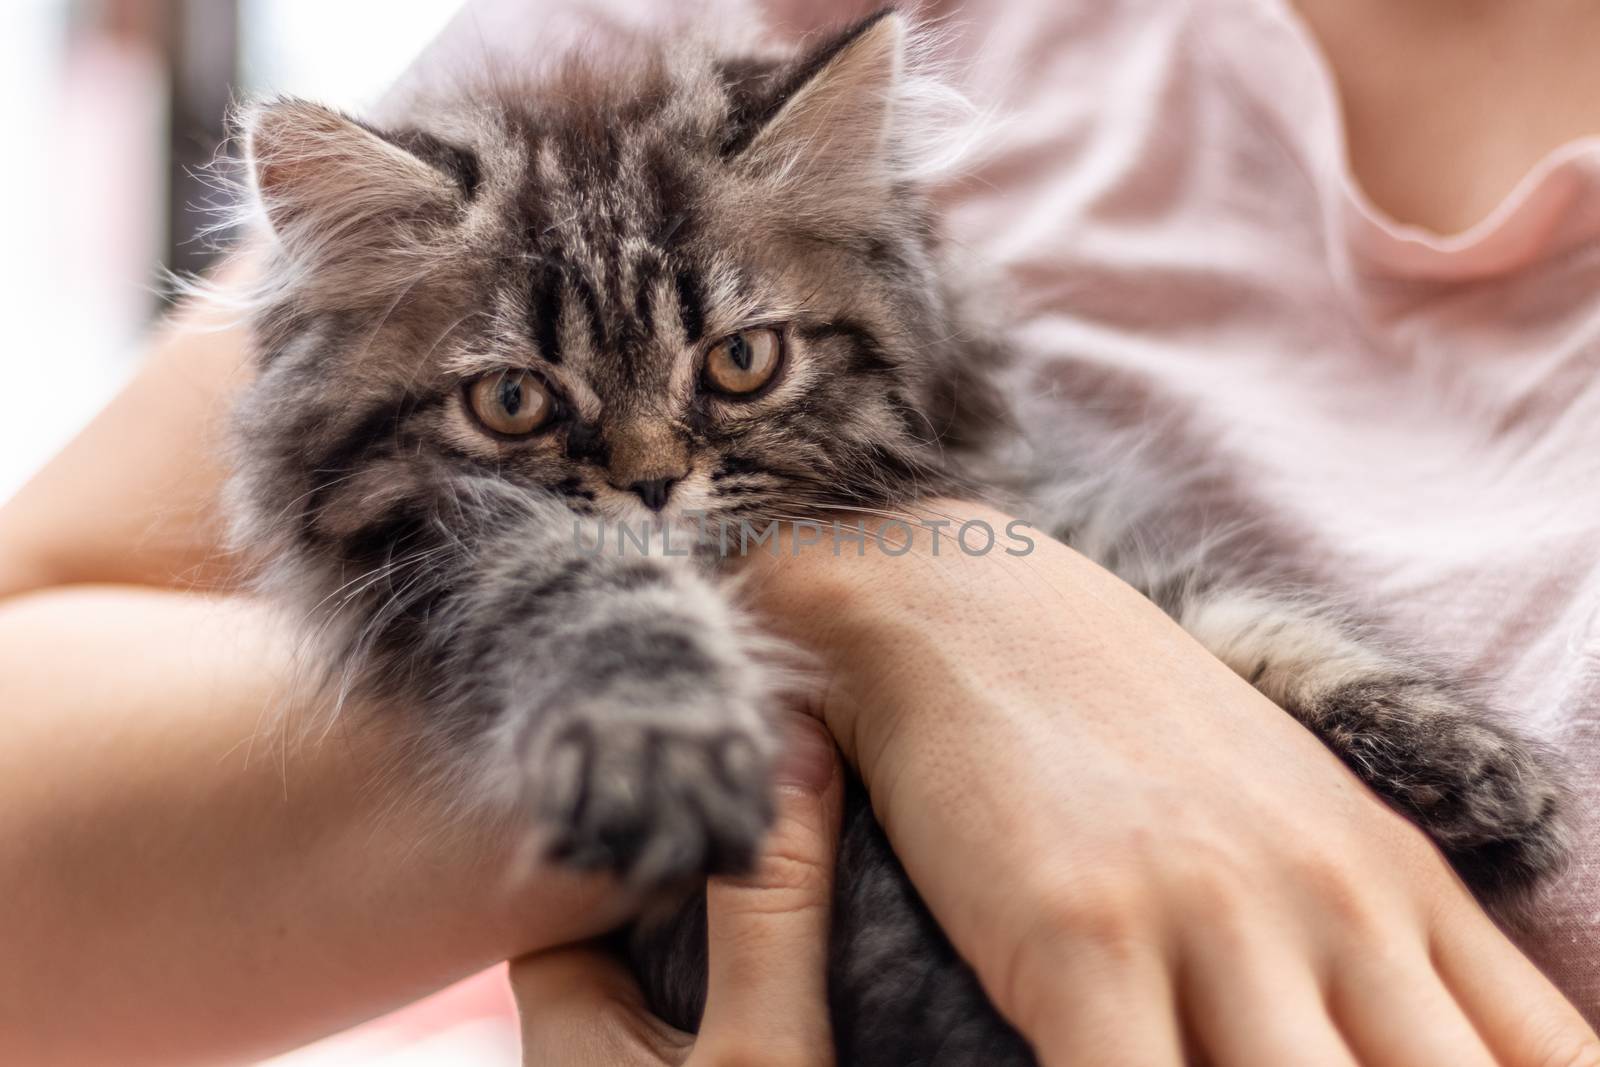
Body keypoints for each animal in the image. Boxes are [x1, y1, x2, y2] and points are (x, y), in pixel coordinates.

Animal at [232, 10, 1568, 1067]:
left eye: (740, 359)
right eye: (513, 400)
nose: (654, 484)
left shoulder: (1058, 506)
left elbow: (1215, 609)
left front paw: (1451, 752)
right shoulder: (443, 547)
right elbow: (588, 589)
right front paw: (661, 744)